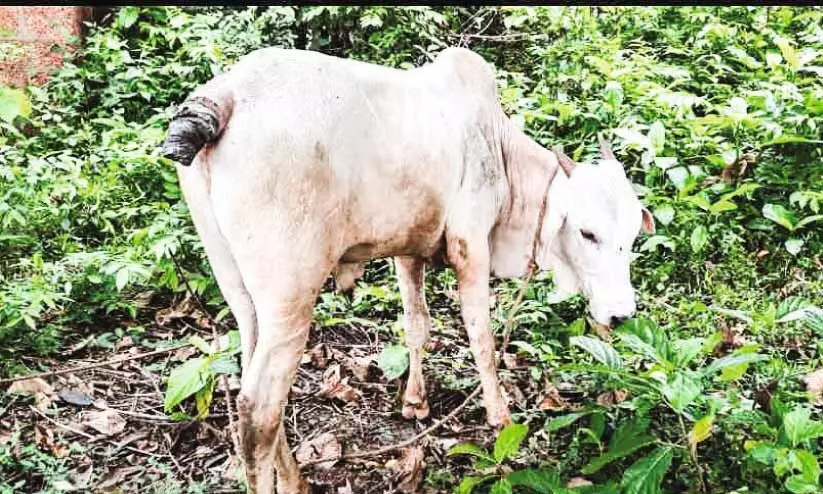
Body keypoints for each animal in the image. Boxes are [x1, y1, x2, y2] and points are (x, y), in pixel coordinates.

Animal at [161, 46, 655, 493]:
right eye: (588, 233)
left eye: (633, 235)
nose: (621, 314)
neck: (501, 151)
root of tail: (222, 96)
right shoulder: (471, 246)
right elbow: (481, 337)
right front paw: (500, 415)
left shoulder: (408, 249)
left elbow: (417, 325)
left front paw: (415, 401)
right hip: (291, 295)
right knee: (259, 408)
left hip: (240, 290)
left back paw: (296, 478)